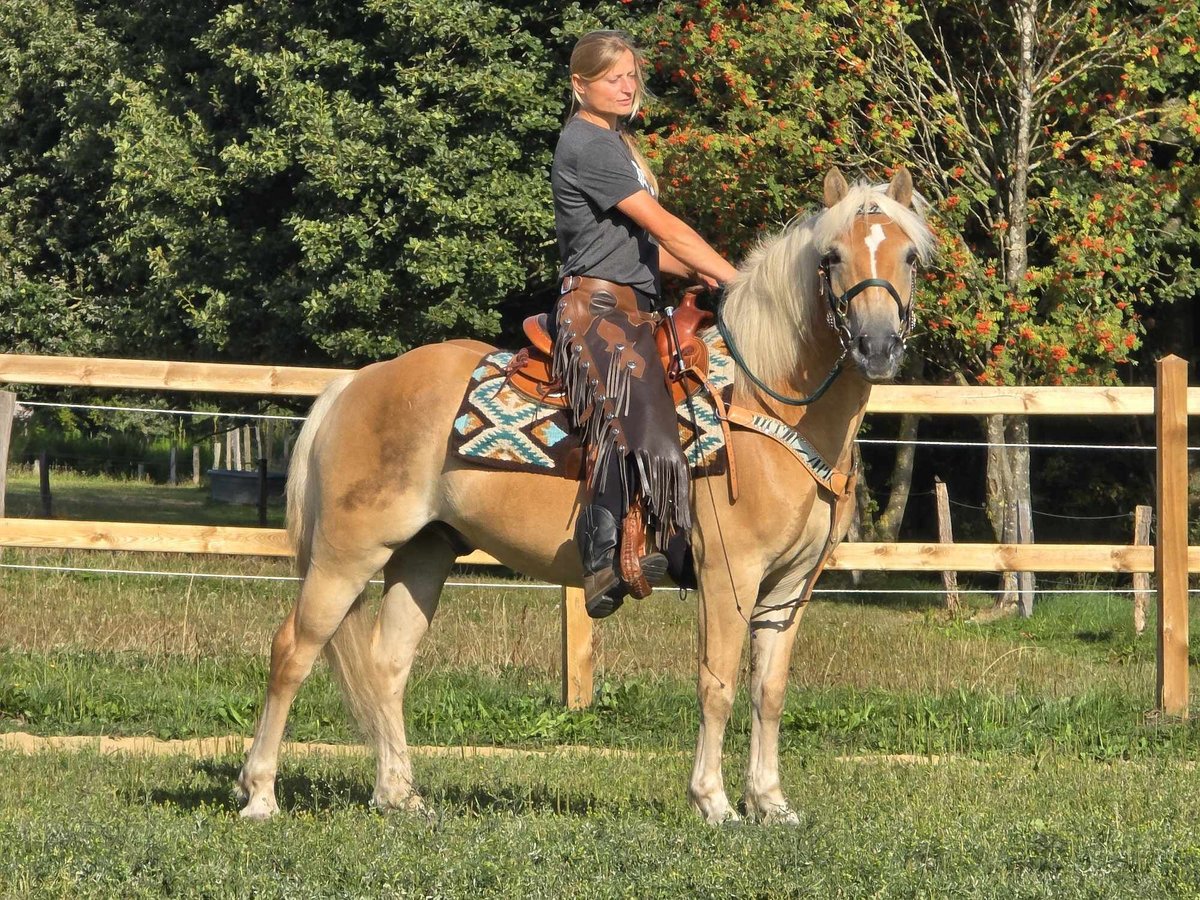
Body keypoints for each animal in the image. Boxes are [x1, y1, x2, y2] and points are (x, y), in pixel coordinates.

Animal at [236, 168, 936, 825]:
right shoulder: (728, 573)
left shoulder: (790, 588)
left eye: (909, 256)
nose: (877, 346)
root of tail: (353, 385)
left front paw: (770, 801)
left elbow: (770, 691)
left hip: (424, 554)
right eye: (832, 257)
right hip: (347, 553)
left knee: (386, 665)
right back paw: (260, 793)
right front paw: (713, 800)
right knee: (293, 650)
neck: (764, 401)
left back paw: (399, 795)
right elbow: (717, 684)